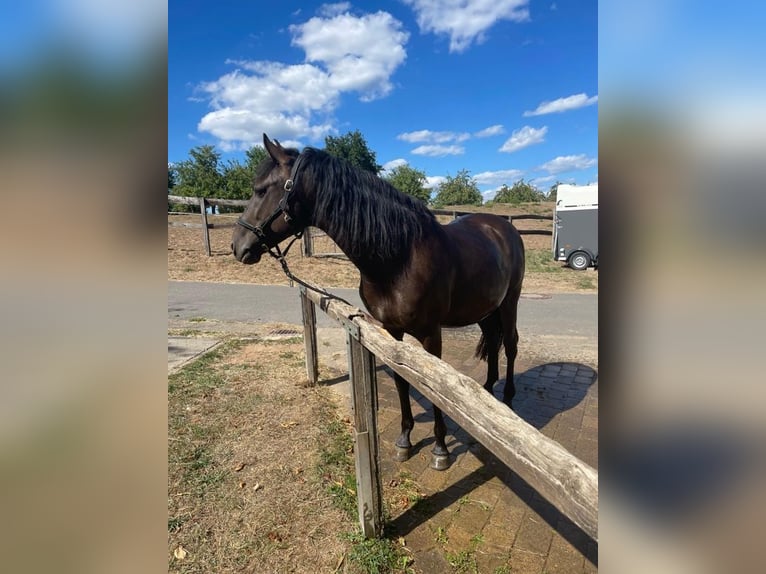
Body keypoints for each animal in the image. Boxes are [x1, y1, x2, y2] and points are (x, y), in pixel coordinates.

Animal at [232, 134, 525, 470]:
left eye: (261, 190)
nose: (238, 246)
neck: (400, 258)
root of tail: (504, 227)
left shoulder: (430, 335)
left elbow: (432, 389)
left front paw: (440, 449)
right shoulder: (391, 332)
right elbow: (401, 382)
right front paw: (405, 440)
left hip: (510, 301)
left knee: (510, 344)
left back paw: (508, 400)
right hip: (486, 309)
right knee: (493, 341)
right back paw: (488, 392)